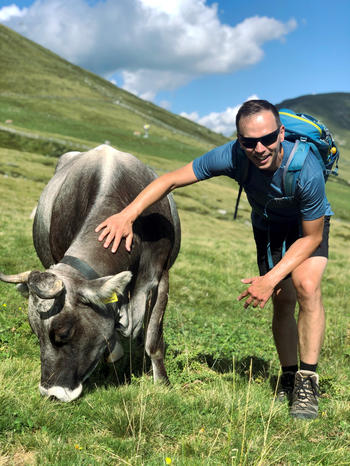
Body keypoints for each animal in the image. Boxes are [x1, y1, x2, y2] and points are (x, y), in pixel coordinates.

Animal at [0, 145, 180, 400]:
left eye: (64, 333)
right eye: (36, 334)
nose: (50, 393)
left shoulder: (161, 276)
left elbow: (153, 341)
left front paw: (163, 383)